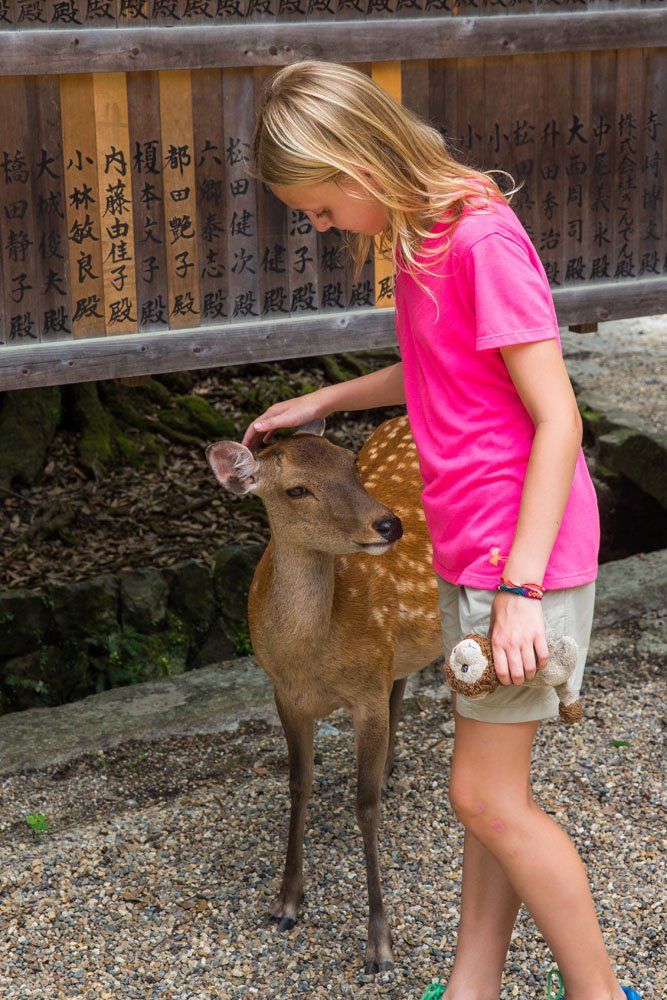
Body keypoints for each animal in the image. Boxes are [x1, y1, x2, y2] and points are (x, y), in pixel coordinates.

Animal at [204, 414, 444, 976]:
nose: (389, 526)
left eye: (351, 464)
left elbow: (364, 805)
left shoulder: (365, 694)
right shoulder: (285, 694)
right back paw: (393, 765)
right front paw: (286, 903)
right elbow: (299, 786)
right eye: (297, 489)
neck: (313, 657)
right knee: (405, 681)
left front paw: (379, 943)